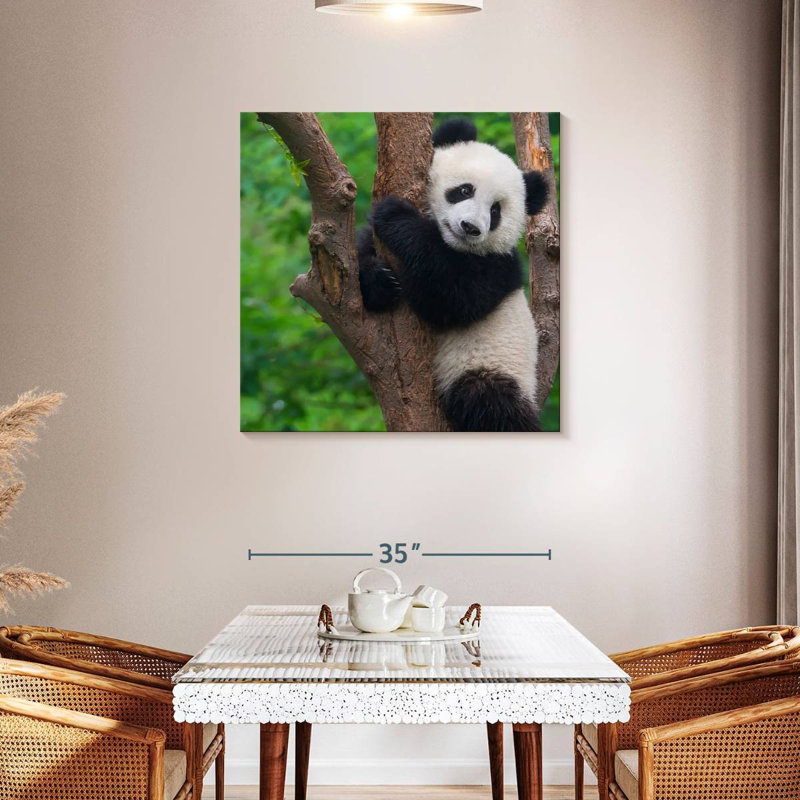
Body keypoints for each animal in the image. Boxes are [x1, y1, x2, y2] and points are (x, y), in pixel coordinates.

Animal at [358, 117, 549, 432]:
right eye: (464, 190)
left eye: (495, 211)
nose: (470, 227)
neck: (452, 245)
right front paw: (379, 281)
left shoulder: (497, 267)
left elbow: (452, 299)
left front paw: (396, 216)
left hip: (492, 366)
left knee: (489, 402)